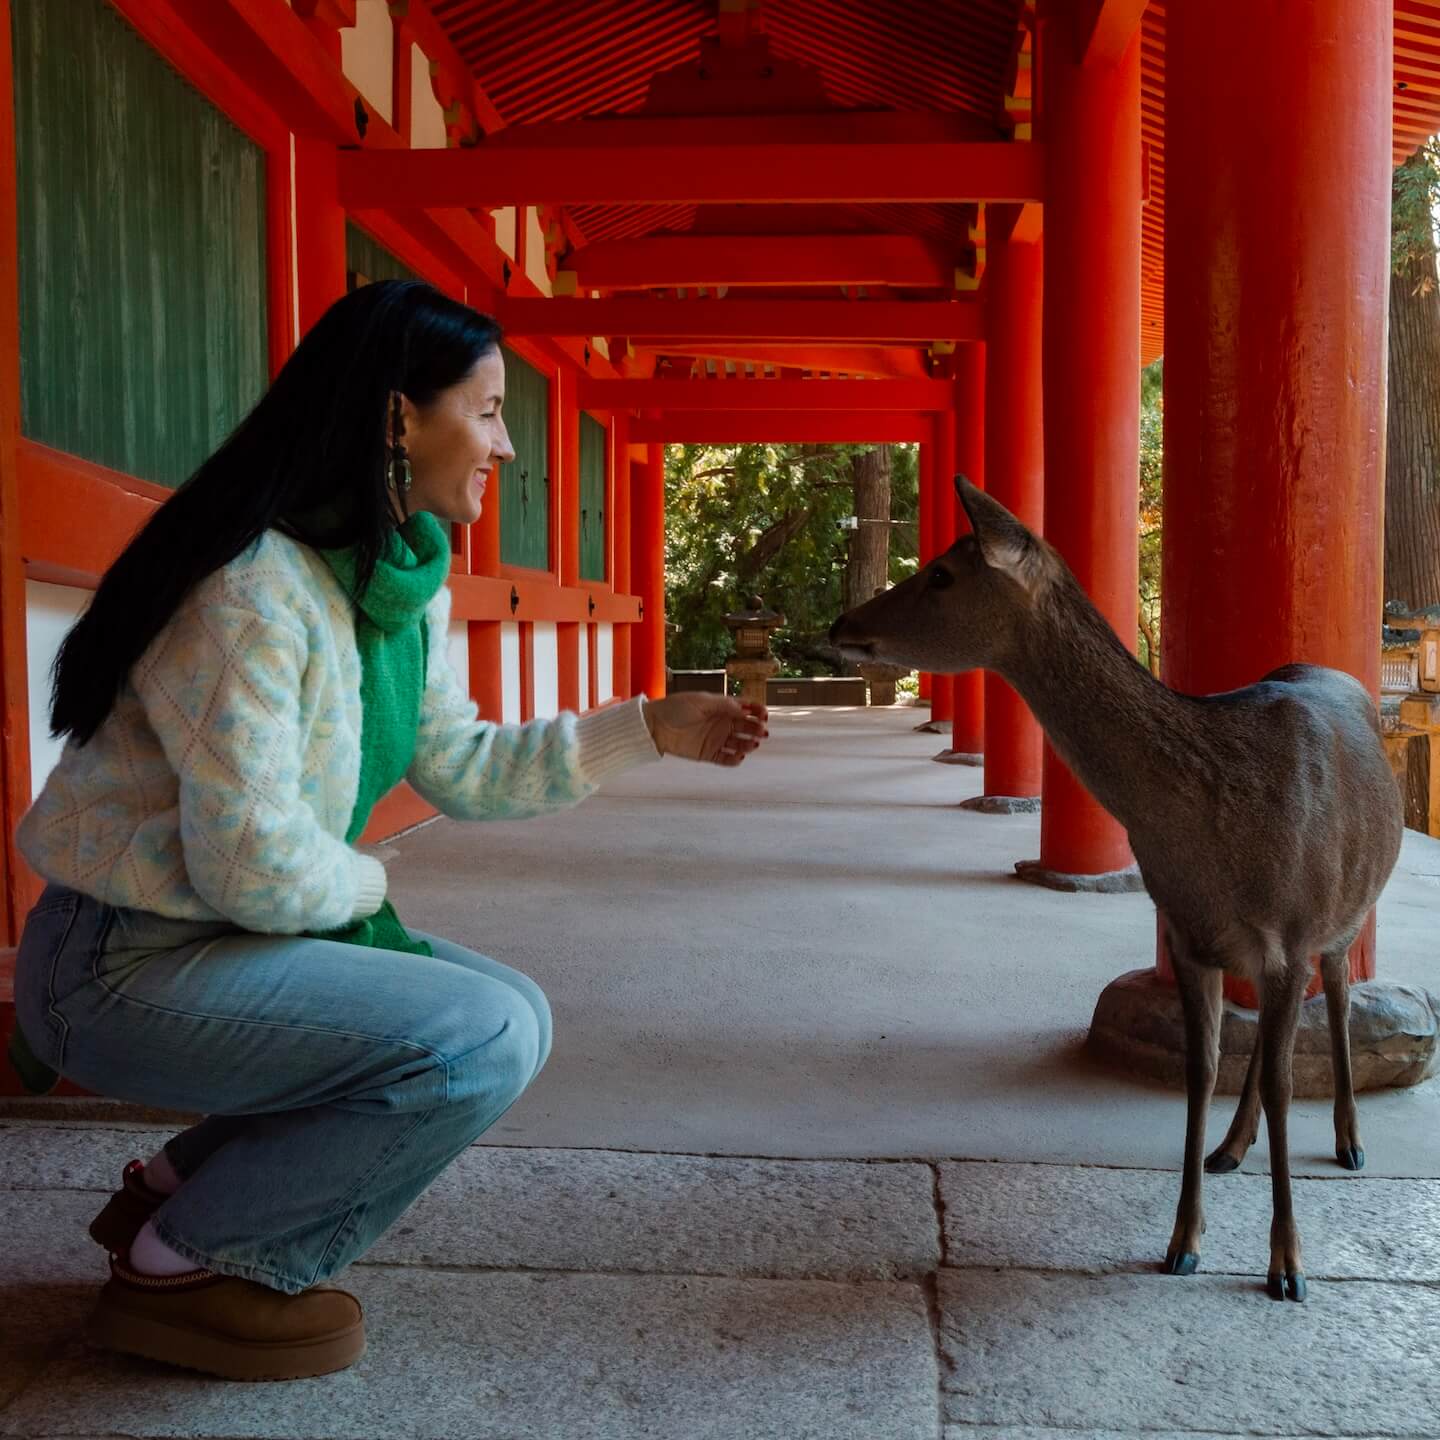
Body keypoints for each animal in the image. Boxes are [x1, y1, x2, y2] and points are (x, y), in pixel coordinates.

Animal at [835, 475, 1405, 1307]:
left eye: (942, 574)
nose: (843, 624)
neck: (1215, 839)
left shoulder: (1291, 930)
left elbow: (1275, 1074)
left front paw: (1287, 1267)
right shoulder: (1186, 928)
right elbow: (1203, 1070)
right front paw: (1182, 1244)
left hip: (1346, 907)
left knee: (1332, 994)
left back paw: (1351, 1141)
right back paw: (1231, 1149)